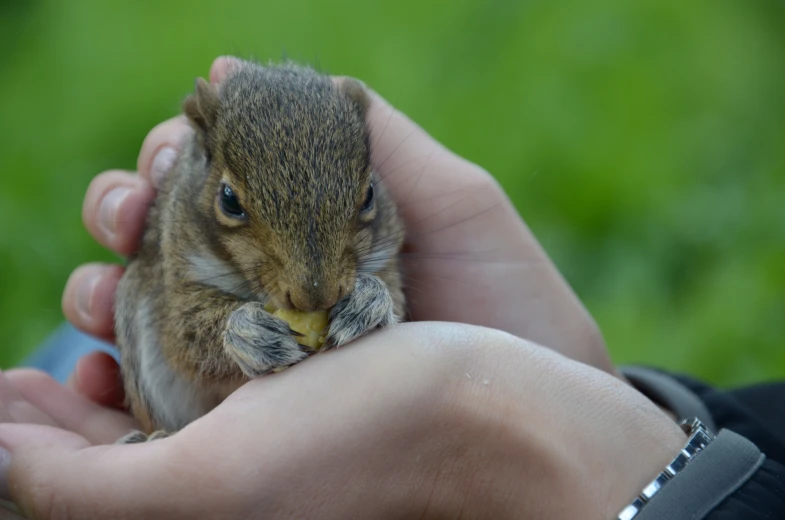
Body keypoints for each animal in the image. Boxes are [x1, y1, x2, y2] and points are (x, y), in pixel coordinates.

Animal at [115, 61, 404, 442]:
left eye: (370, 194)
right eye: (228, 200)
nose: (316, 296)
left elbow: (394, 295)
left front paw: (367, 303)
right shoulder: (174, 272)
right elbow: (184, 331)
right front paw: (247, 332)